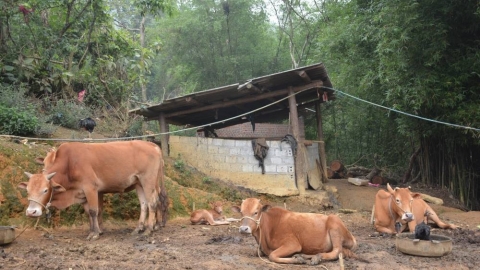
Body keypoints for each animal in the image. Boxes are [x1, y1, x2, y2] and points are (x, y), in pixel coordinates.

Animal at [18, 140, 169, 239]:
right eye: (28, 191)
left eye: (45, 190)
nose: (31, 212)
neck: (69, 163)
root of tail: (153, 145)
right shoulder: (83, 193)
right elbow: (89, 213)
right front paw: (93, 230)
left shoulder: (90, 188)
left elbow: (94, 211)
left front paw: (96, 233)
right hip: (139, 184)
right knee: (144, 205)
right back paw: (138, 229)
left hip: (148, 181)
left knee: (153, 202)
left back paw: (149, 229)